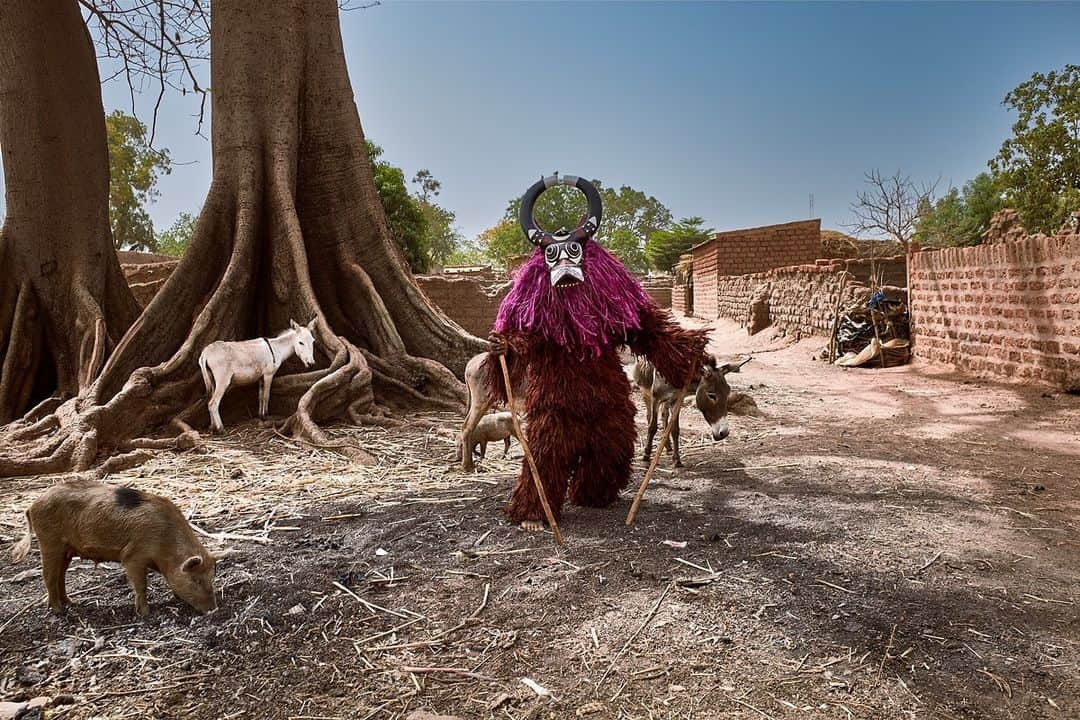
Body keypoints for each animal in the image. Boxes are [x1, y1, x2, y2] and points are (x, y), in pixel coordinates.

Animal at [9, 479, 217, 613]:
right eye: (196, 580)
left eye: (211, 577)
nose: (213, 610)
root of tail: (32, 505)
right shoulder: (133, 555)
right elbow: (141, 585)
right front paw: (146, 613)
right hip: (49, 542)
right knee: (49, 577)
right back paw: (59, 611)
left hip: (66, 549)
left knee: (61, 575)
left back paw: (71, 602)